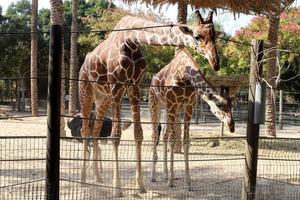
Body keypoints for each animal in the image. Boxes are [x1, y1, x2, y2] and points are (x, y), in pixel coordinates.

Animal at [78, 10, 219, 196]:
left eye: (215, 35)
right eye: (197, 36)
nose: (215, 62)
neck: (131, 40)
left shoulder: (134, 86)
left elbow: (138, 134)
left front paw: (140, 185)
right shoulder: (117, 85)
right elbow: (116, 135)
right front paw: (117, 188)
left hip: (103, 98)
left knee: (95, 130)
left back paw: (97, 176)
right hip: (86, 90)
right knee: (84, 129)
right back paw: (83, 178)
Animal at [149, 48, 236, 189]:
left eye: (231, 106)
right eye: (219, 105)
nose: (232, 125)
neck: (184, 75)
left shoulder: (188, 106)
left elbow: (186, 141)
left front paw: (187, 182)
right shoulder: (172, 104)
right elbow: (173, 141)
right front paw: (171, 181)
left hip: (168, 109)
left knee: (164, 134)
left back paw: (165, 174)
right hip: (155, 102)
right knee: (155, 134)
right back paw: (153, 176)